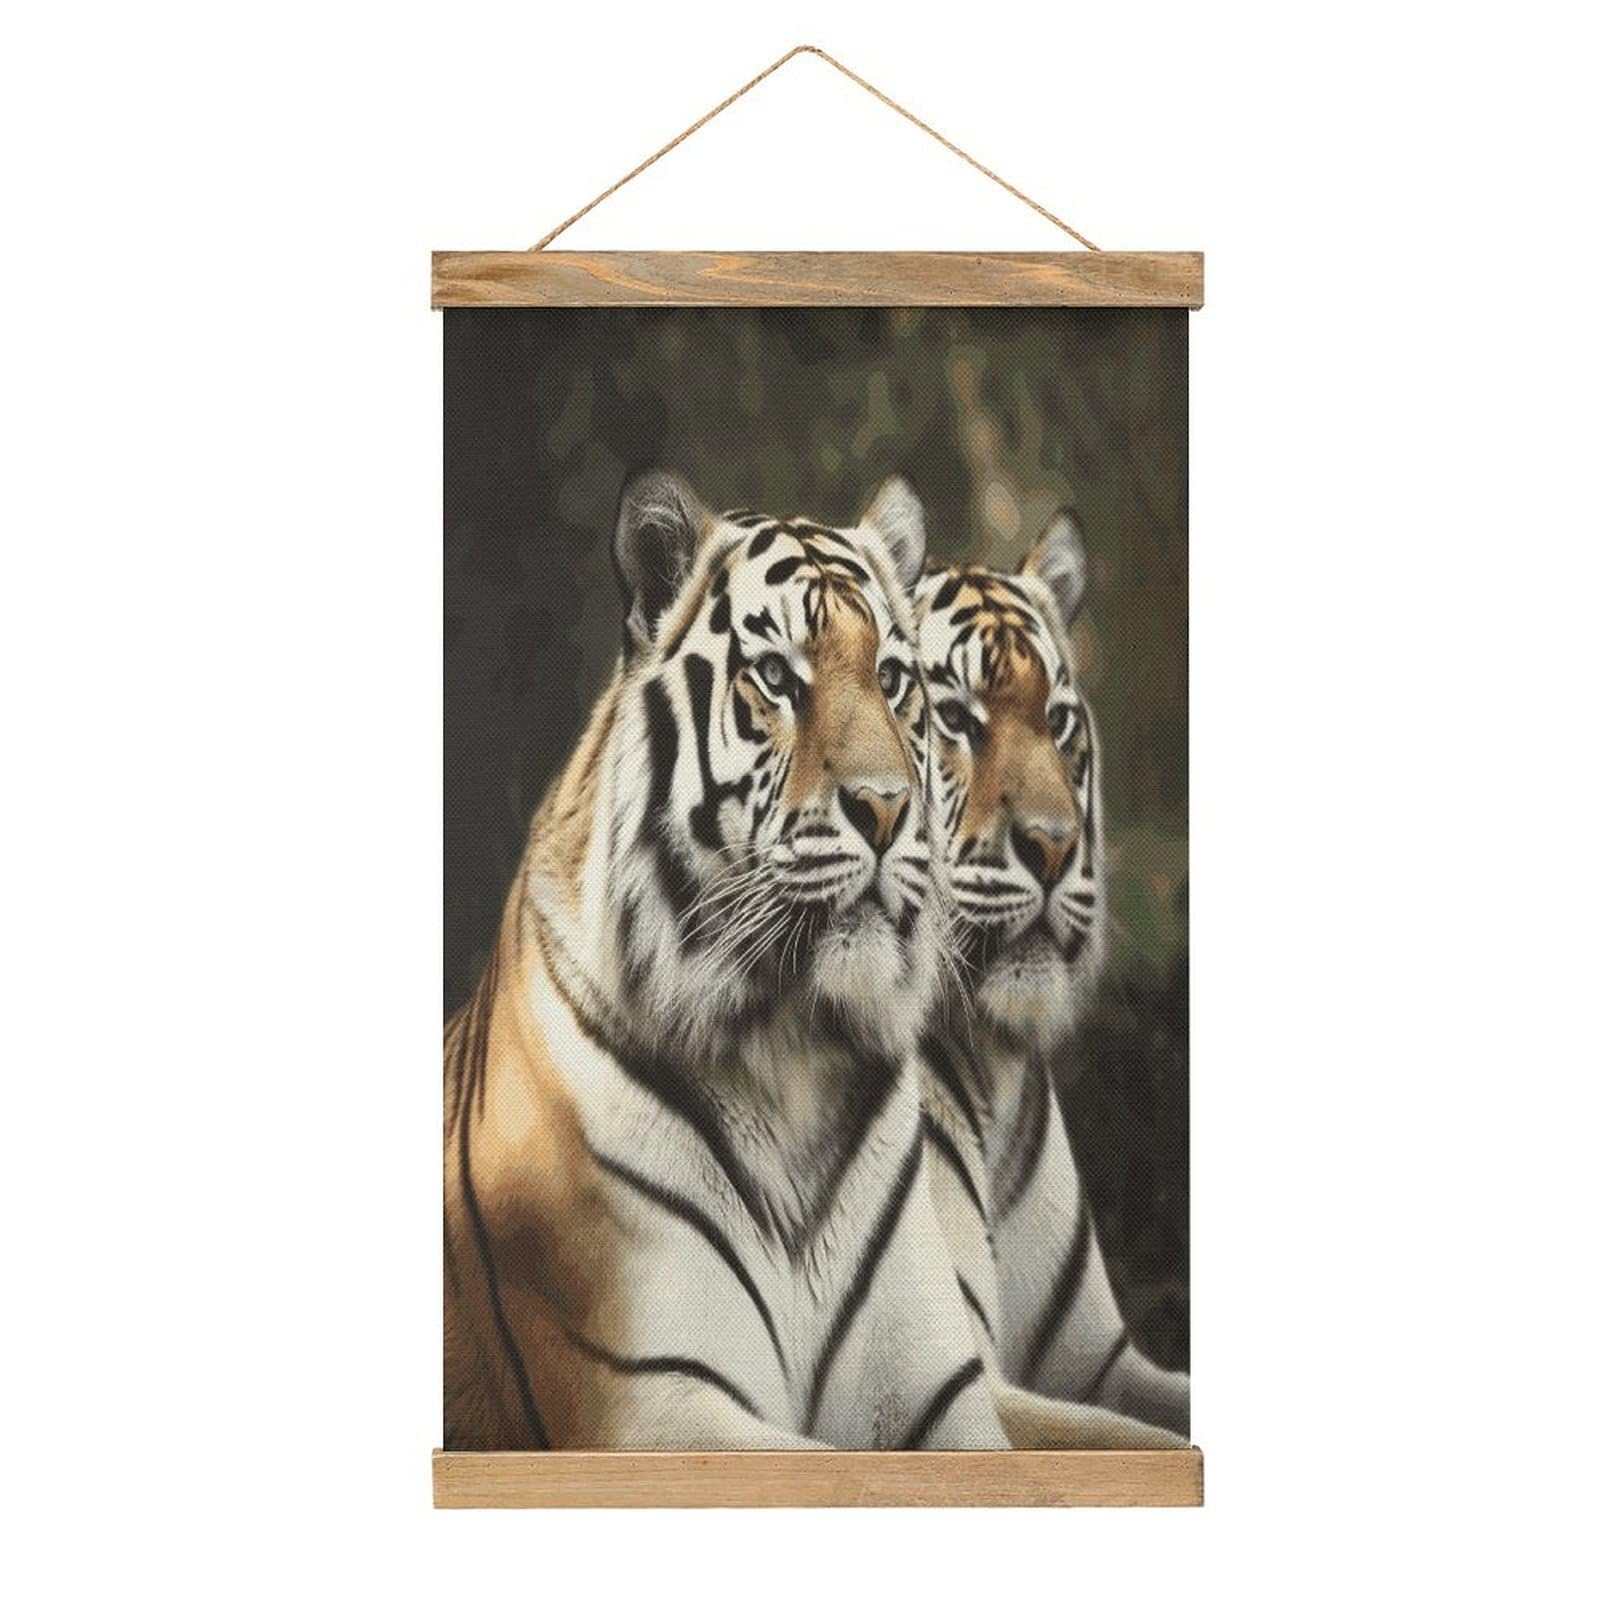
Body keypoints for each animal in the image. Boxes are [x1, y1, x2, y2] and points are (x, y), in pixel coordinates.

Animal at [447, 469, 1024, 1451]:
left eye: (892, 678)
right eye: (778, 678)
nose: (887, 808)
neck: (791, 1051)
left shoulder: (941, 1392)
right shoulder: (654, 1403)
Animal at [913, 509, 1191, 1438]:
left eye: (1060, 721)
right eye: (952, 717)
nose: (1054, 844)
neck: (988, 1063)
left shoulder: (1102, 1361)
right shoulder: (965, 1379)